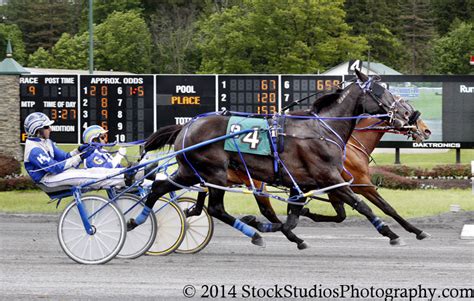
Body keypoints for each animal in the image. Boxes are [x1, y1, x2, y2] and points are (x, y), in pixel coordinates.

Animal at [129, 69, 414, 246]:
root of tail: (186, 125)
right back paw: (253, 235)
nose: (408, 113)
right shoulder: (329, 177)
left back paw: (136, 220)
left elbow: (292, 219)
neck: (320, 129)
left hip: (190, 171)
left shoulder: (303, 184)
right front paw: (391, 232)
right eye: (382, 91)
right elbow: (362, 205)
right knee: (215, 208)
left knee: (159, 187)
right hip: (214, 173)